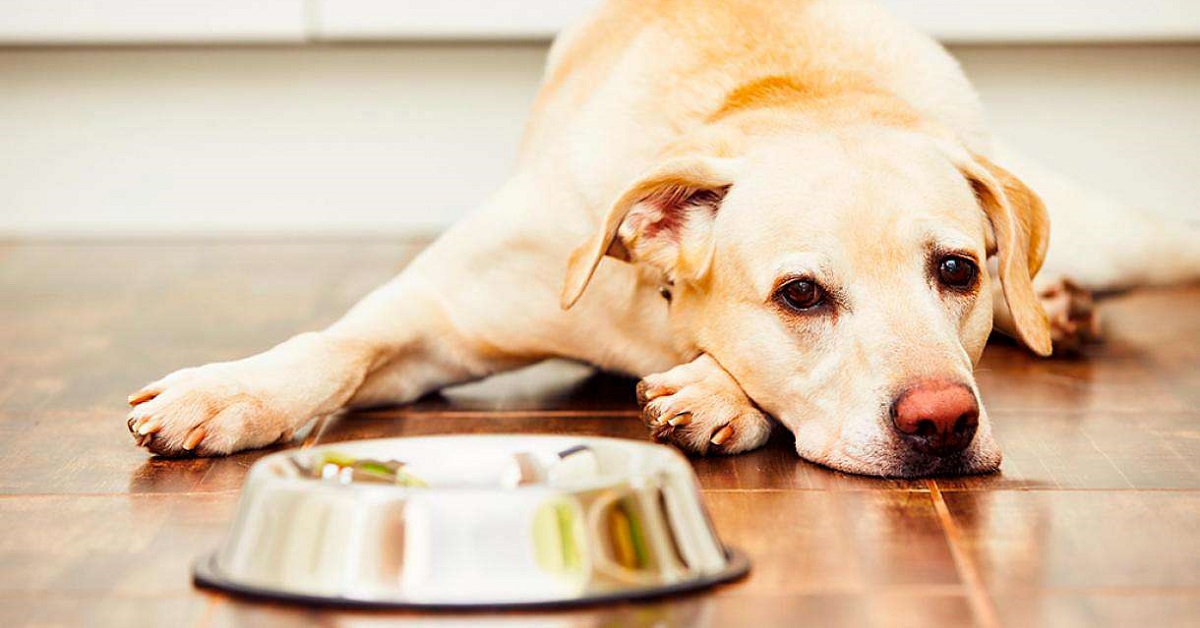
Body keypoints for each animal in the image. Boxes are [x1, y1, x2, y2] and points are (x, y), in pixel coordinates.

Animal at [124, 0, 1200, 477]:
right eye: (801, 294)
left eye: (956, 270)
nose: (944, 423)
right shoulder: (437, 313)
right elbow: (336, 345)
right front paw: (230, 392)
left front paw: (715, 391)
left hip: (1126, 238)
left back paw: (1052, 303)